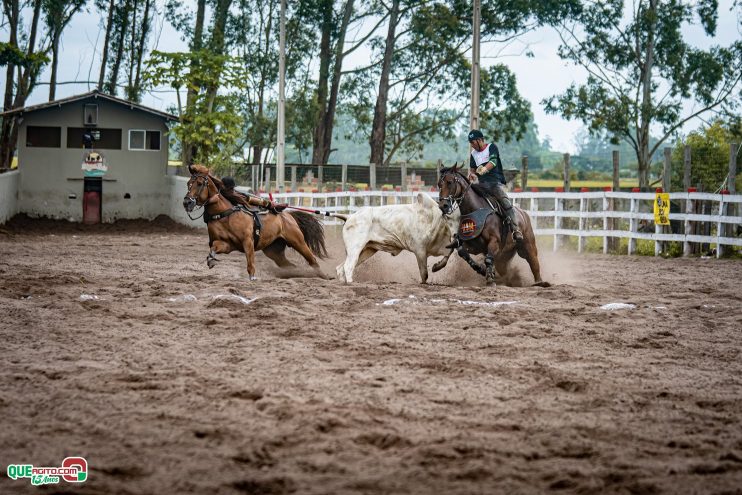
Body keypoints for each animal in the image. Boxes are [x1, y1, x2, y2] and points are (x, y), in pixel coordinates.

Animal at [182, 165, 328, 280]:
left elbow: (250, 263)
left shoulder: (248, 242)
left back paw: (324, 276)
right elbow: (213, 248)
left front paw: (252, 278)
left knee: (313, 260)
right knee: (290, 266)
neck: (225, 214)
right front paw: (211, 260)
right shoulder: (227, 244)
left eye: (199, 183)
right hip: (274, 251)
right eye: (188, 183)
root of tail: (288, 215)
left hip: (298, 242)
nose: (187, 202)